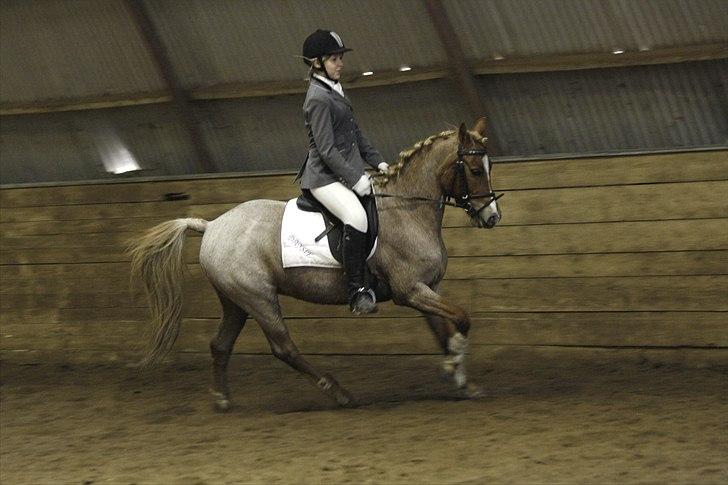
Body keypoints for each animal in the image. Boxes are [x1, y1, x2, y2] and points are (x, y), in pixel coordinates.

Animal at [129, 118, 501, 410]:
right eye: (472, 170)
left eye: (489, 168)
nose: (492, 217)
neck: (409, 210)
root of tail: (211, 226)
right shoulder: (410, 291)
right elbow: (462, 319)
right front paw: (455, 363)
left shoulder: (426, 288)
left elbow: (444, 330)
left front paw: (462, 380)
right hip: (258, 298)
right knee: (283, 347)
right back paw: (338, 393)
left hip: (235, 301)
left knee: (220, 345)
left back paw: (222, 399)